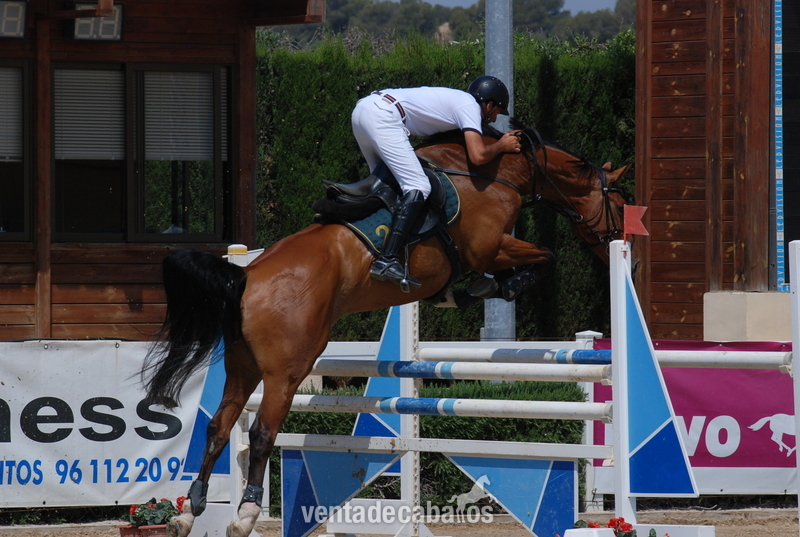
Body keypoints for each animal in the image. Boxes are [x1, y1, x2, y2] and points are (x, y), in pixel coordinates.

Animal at [141, 125, 629, 537]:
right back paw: (243, 515)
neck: (494, 172)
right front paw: (496, 286)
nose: (616, 246)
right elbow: (545, 255)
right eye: (622, 203)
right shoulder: (489, 248)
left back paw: (189, 512)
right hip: (286, 371)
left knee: (220, 427)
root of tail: (244, 275)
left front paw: (476, 290)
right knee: (260, 432)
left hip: (242, 366)